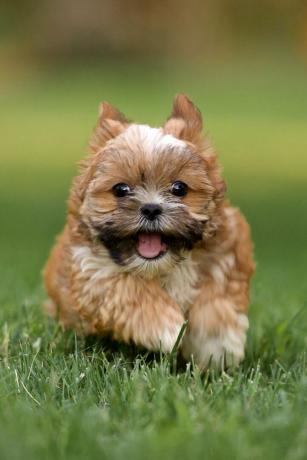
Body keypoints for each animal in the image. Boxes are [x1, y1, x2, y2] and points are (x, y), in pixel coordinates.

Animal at [44, 94, 255, 370]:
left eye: (179, 188)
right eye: (121, 189)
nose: (152, 208)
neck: (165, 267)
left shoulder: (227, 256)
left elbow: (217, 298)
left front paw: (217, 347)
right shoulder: (94, 272)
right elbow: (129, 289)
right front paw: (169, 329)